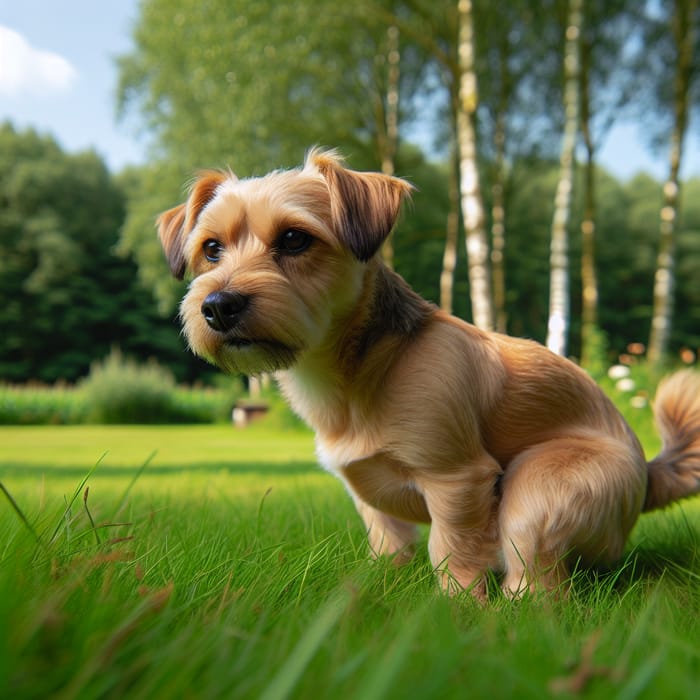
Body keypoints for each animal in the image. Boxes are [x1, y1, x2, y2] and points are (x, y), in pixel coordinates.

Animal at [157, 150, 700, 600]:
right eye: (211, 249)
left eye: (294, 239)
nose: (217, 306)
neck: (359, 373)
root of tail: (648, 472)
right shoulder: (371, 501)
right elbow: (389, 547)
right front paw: (376, 590)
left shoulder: (457, 480)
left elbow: (451, 551)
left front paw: (454, 609)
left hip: (537, 489)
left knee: (540, 587)